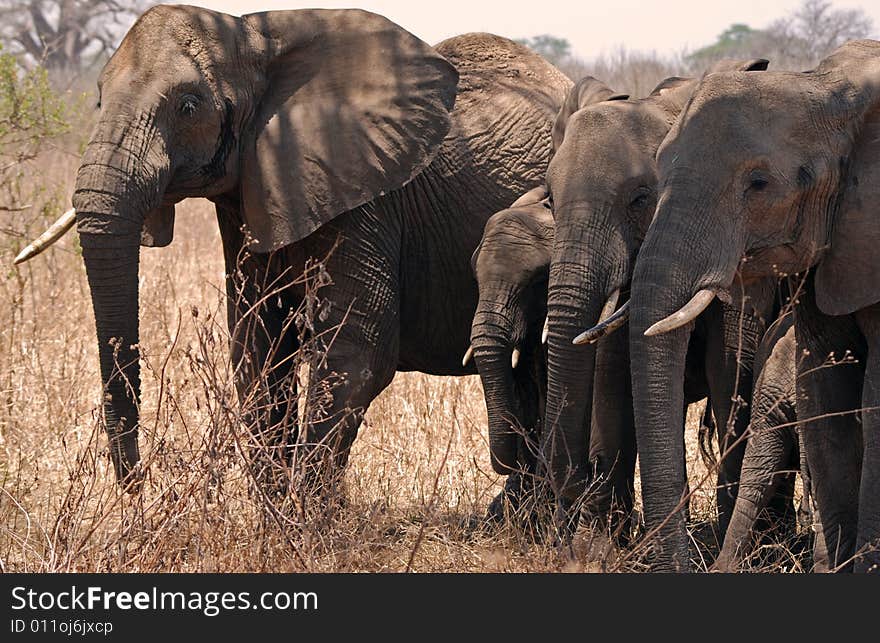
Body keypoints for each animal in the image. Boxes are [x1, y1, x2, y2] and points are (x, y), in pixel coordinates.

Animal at [20, 5, 576, 494]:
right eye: (97, 99)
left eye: (188, 106)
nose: (137, 487)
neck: (255, 37)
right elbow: (257, 347)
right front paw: (277, 514)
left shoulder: (366, 196)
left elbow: (356, 349)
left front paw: (307, 523)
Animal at [540, 57, 772, 540]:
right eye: (550, 201)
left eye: (640, 198)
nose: (574, 485)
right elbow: (614, 372)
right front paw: (600, 546)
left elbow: (730, 372)